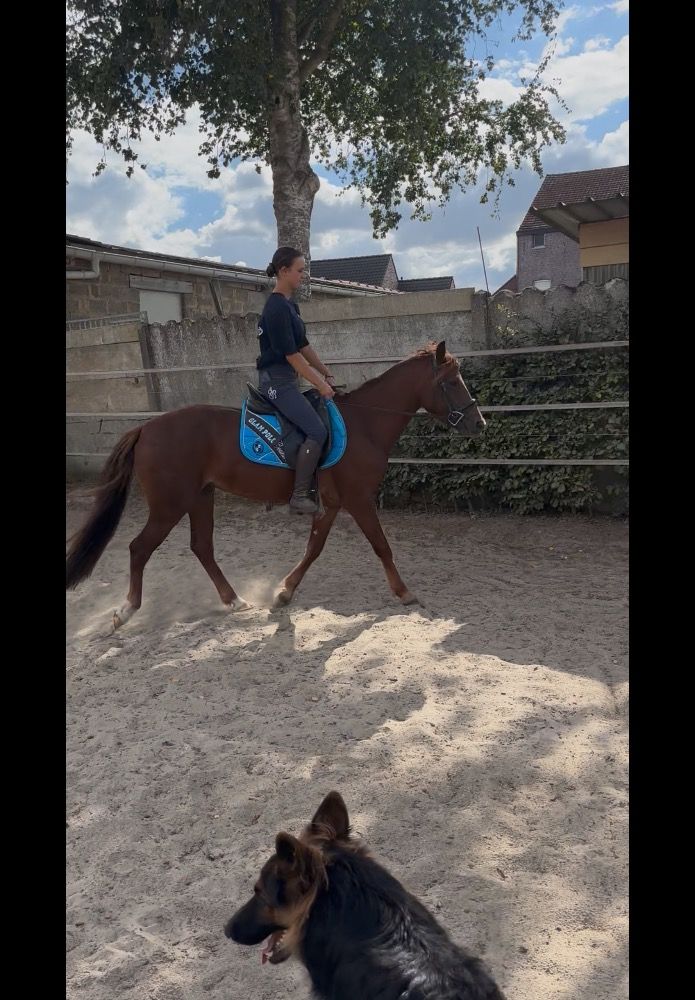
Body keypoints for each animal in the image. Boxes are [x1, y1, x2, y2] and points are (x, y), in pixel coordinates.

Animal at [66, 340, 485, 628]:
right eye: (451, 382)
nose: (478, 423)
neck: (364, 424)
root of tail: (146, 427)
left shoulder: (331, 504)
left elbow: (314, 549)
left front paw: (284, 592)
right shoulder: (359, 500)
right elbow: (381, 546)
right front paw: (404, 593)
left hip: (201, 497)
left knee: (202, 547)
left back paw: (233, 600)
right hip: (170, 505)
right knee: (139, 548)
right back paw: (126, 610)